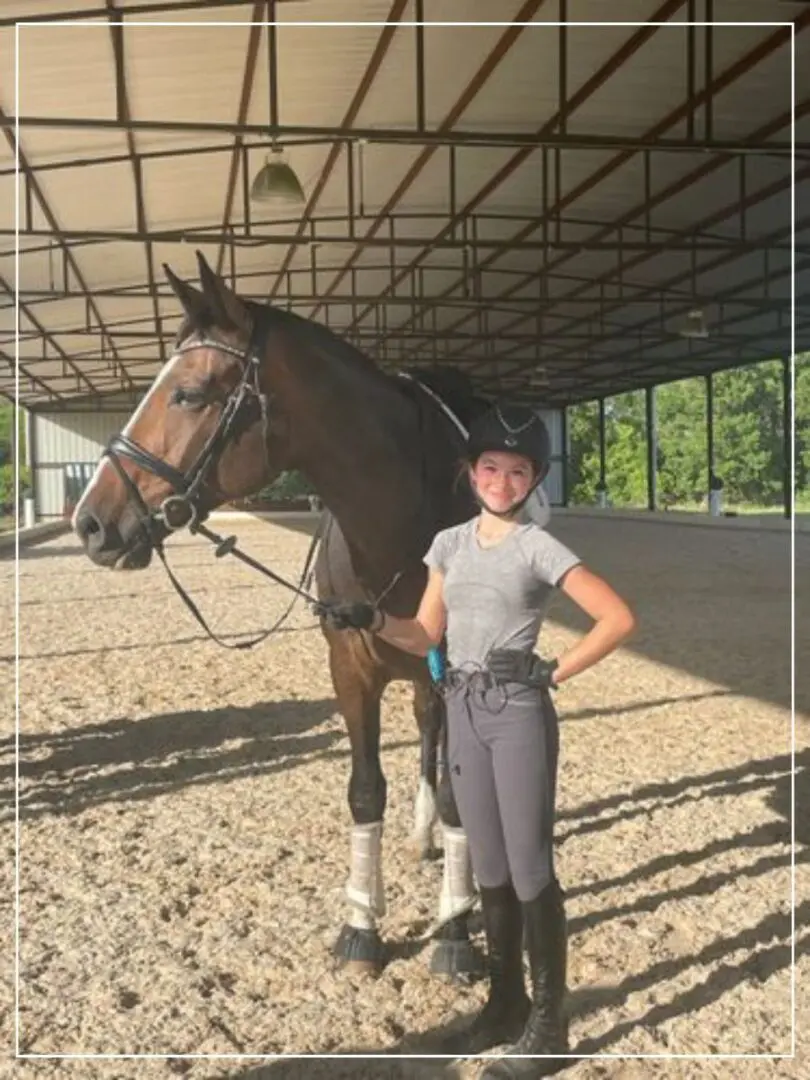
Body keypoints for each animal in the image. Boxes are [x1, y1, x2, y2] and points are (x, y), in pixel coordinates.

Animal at [69, 250, 486, 980]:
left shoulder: (452, 669)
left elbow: (459, 791)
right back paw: (420, 835)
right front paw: (361, 929)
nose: (90, 522)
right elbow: (364, 790)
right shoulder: (349, 668)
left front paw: (456, 932)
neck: (401, 523)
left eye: (189, 393)